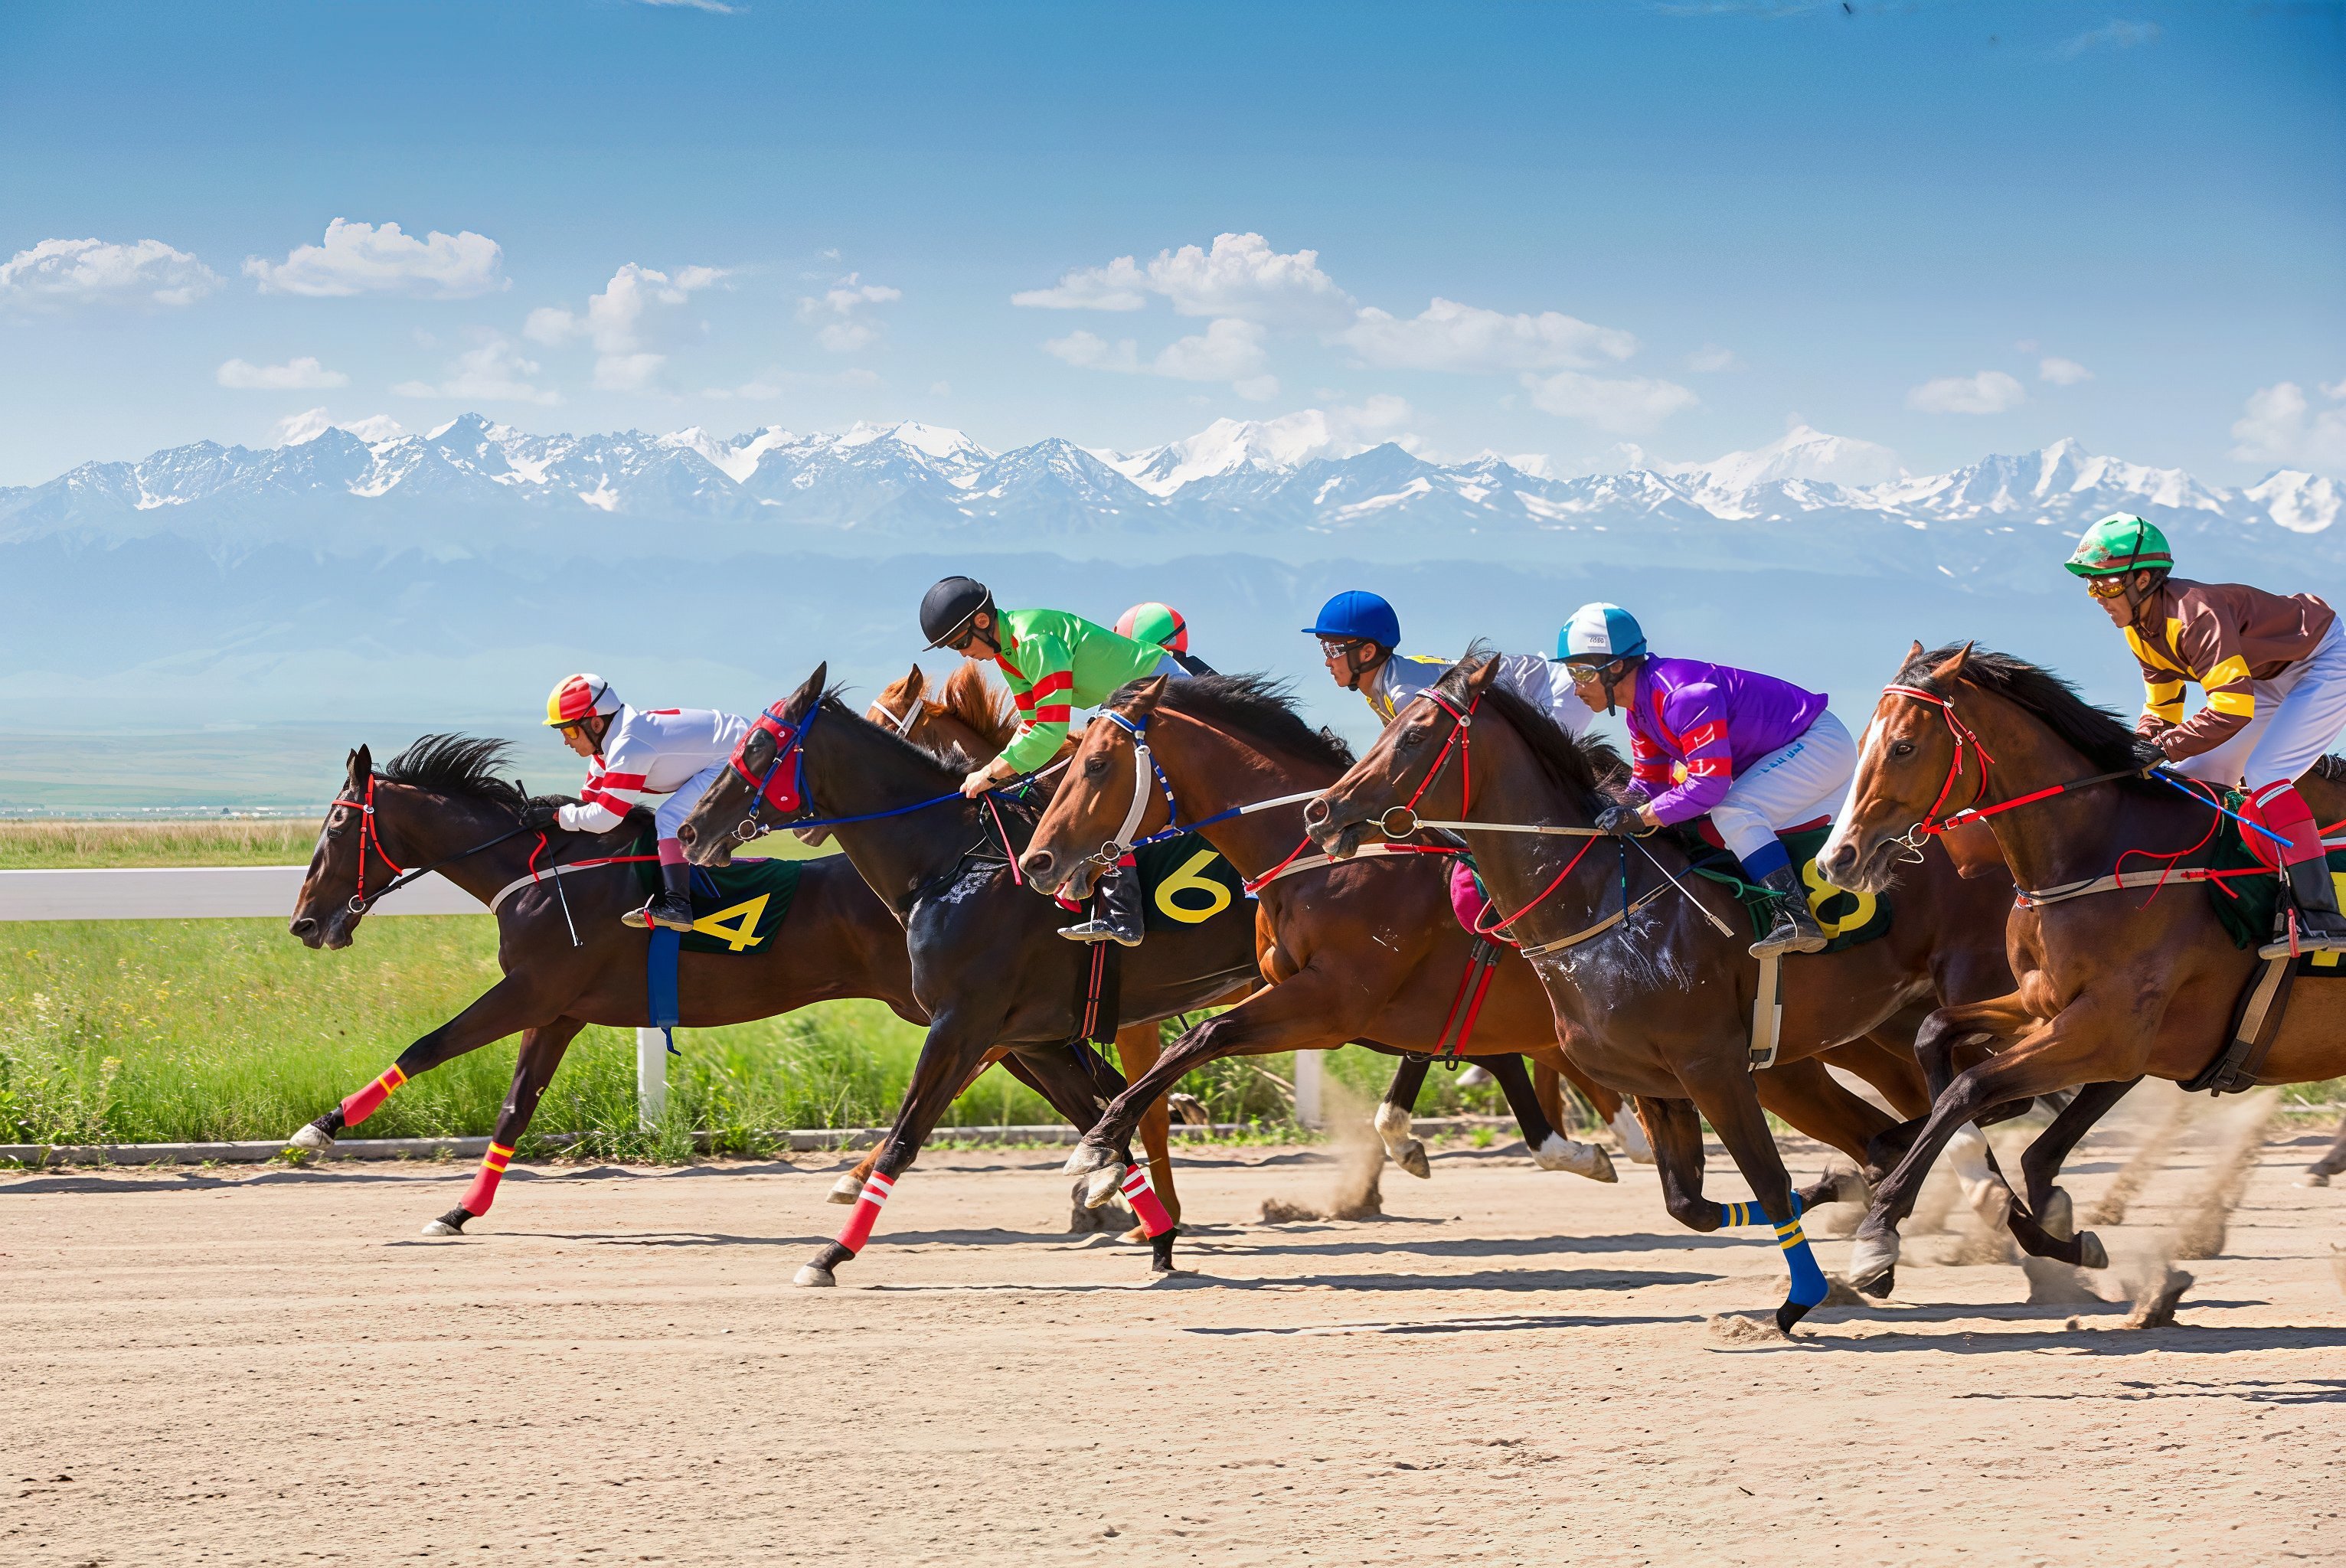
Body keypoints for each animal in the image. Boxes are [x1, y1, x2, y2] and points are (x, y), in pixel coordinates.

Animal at [673, 663, 1265, 1283]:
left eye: (759, 745)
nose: (691, 831)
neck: (957, 863)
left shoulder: (963, 1023)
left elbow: (907, 1136)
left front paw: (831, 1252)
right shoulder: (1033, 1039)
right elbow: (1105, 1120)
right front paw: (1155, 1232)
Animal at [1016, 672, 1652, 1230]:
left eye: (1097, 765)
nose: (1037, 861)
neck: (1323, 864)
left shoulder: (1334, 1003)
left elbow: (1200, 1039)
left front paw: (1098, 1152)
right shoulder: (1358, 1007)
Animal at [1298, 653, 2050, 1332]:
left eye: (1415, 735)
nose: (1321, 810)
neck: (1599, 901)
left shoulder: (1710, 1066)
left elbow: (1767, 1179)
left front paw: (1799, 1297)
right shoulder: (1654, 1082)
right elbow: (1690, 1205)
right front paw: (1842, 1202)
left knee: (1990, 1096)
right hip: (1859, 1041)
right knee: (1930, 1111)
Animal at [1814, 641, 2346, 1293]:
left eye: (1905, 746)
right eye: (1866, 739)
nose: (1837, 859)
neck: (2098, 855)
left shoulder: (2108, 1033)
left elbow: (1970, 1088)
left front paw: (1880, 1231)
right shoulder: (2043, 1005)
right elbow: (1937, 1041)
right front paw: (2012, 1209)